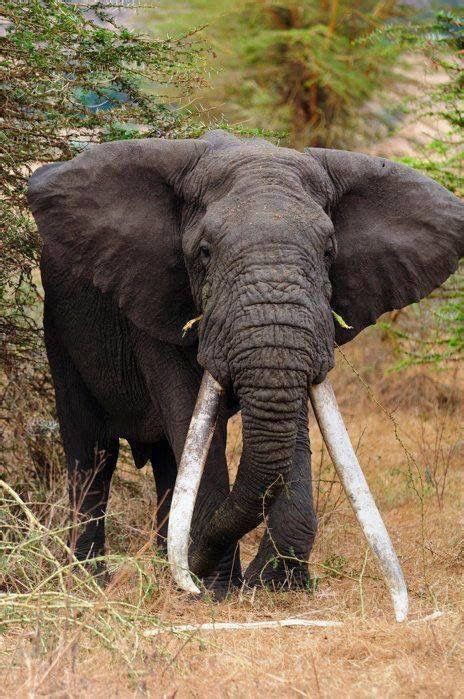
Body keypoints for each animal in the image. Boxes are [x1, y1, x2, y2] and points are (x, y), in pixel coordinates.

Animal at [28, 130, 464, 606]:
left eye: (329, 251)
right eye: (203, 252)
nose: (198, 573)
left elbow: (289, 429)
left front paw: (275, 587)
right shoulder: (158, 304)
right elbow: (193, 419)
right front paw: (214, 590)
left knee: (165, 461)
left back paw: (162, 567)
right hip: (61, 332)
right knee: (91, 453)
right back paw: (90, 582)